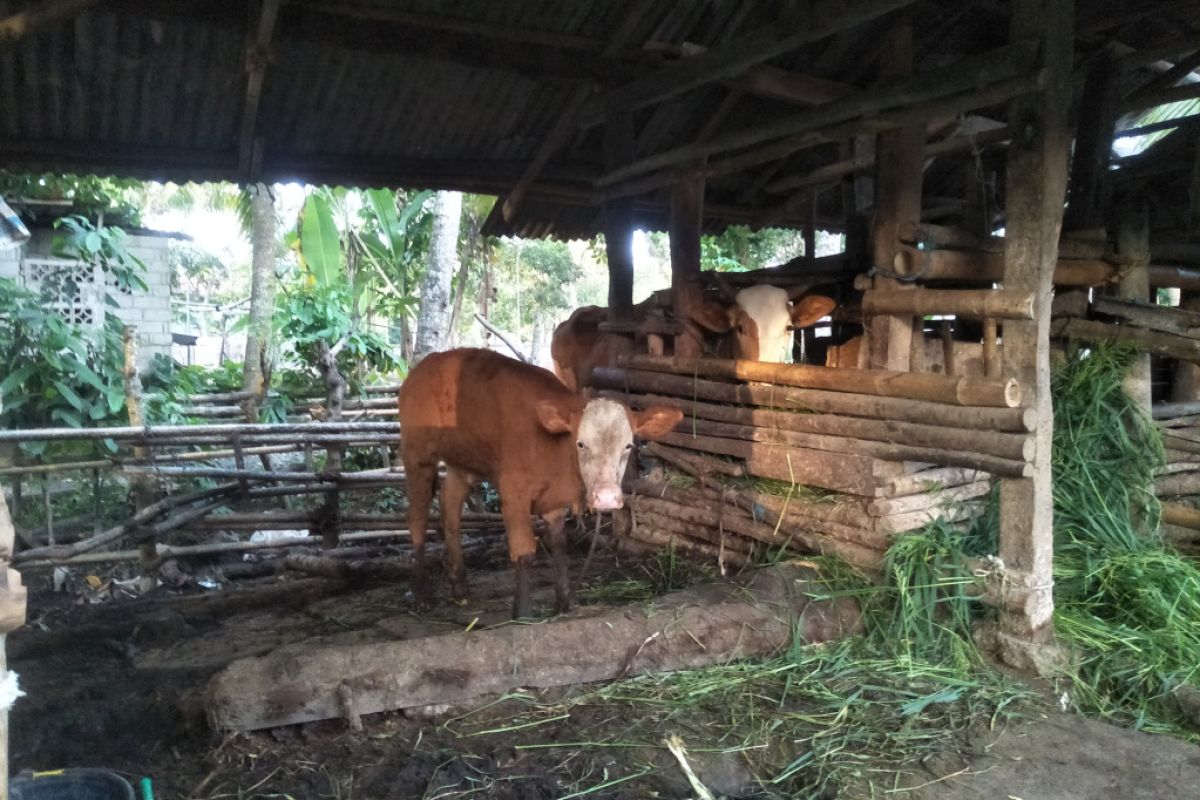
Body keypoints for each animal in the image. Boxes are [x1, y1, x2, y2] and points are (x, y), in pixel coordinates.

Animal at [400, 347, 686, 618]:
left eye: (628, 445)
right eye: (581, 443)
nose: (605, 496)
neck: (554, 450)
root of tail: (430, 362)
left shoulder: (554, 499)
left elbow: (559, 545)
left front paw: (565, 601)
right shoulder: (513, 492)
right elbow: (524, 551)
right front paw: (523, 613)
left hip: (463, 464)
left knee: (449, 506)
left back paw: (460, 588)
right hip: (417, 455)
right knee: (417, 519)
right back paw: (421, 594)